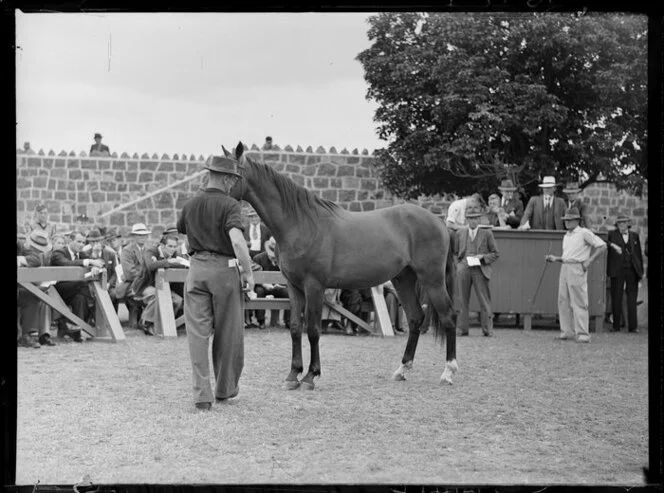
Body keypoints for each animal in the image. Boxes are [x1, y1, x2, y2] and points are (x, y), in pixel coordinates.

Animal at [222, 141, 456, 388]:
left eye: (231, 174)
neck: (301, 223)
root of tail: (438, 222)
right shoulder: (294, 286)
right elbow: (295, 328)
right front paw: (293, 374)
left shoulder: (314, 286)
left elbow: (313, 329)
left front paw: (311, 376)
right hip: (404, 279)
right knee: (415, 318)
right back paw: (402, 369)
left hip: (432, 279)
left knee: (449, 316)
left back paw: (448, 372)